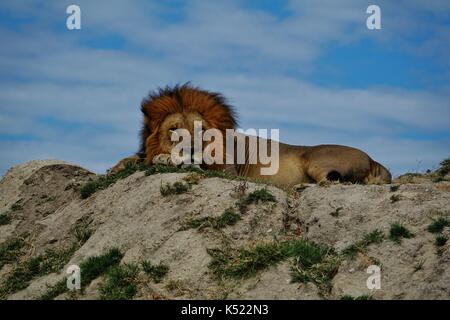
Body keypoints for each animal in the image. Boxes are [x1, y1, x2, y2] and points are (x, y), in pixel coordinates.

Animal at [111, 84, 390, 188]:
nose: (190, 151)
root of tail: (374, 160)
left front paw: (165, 159)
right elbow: (135, 158)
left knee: (331, 181)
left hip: (316, 159)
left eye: (201, 131)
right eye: (173, 129)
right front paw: (116, 167)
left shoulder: (227, 170)